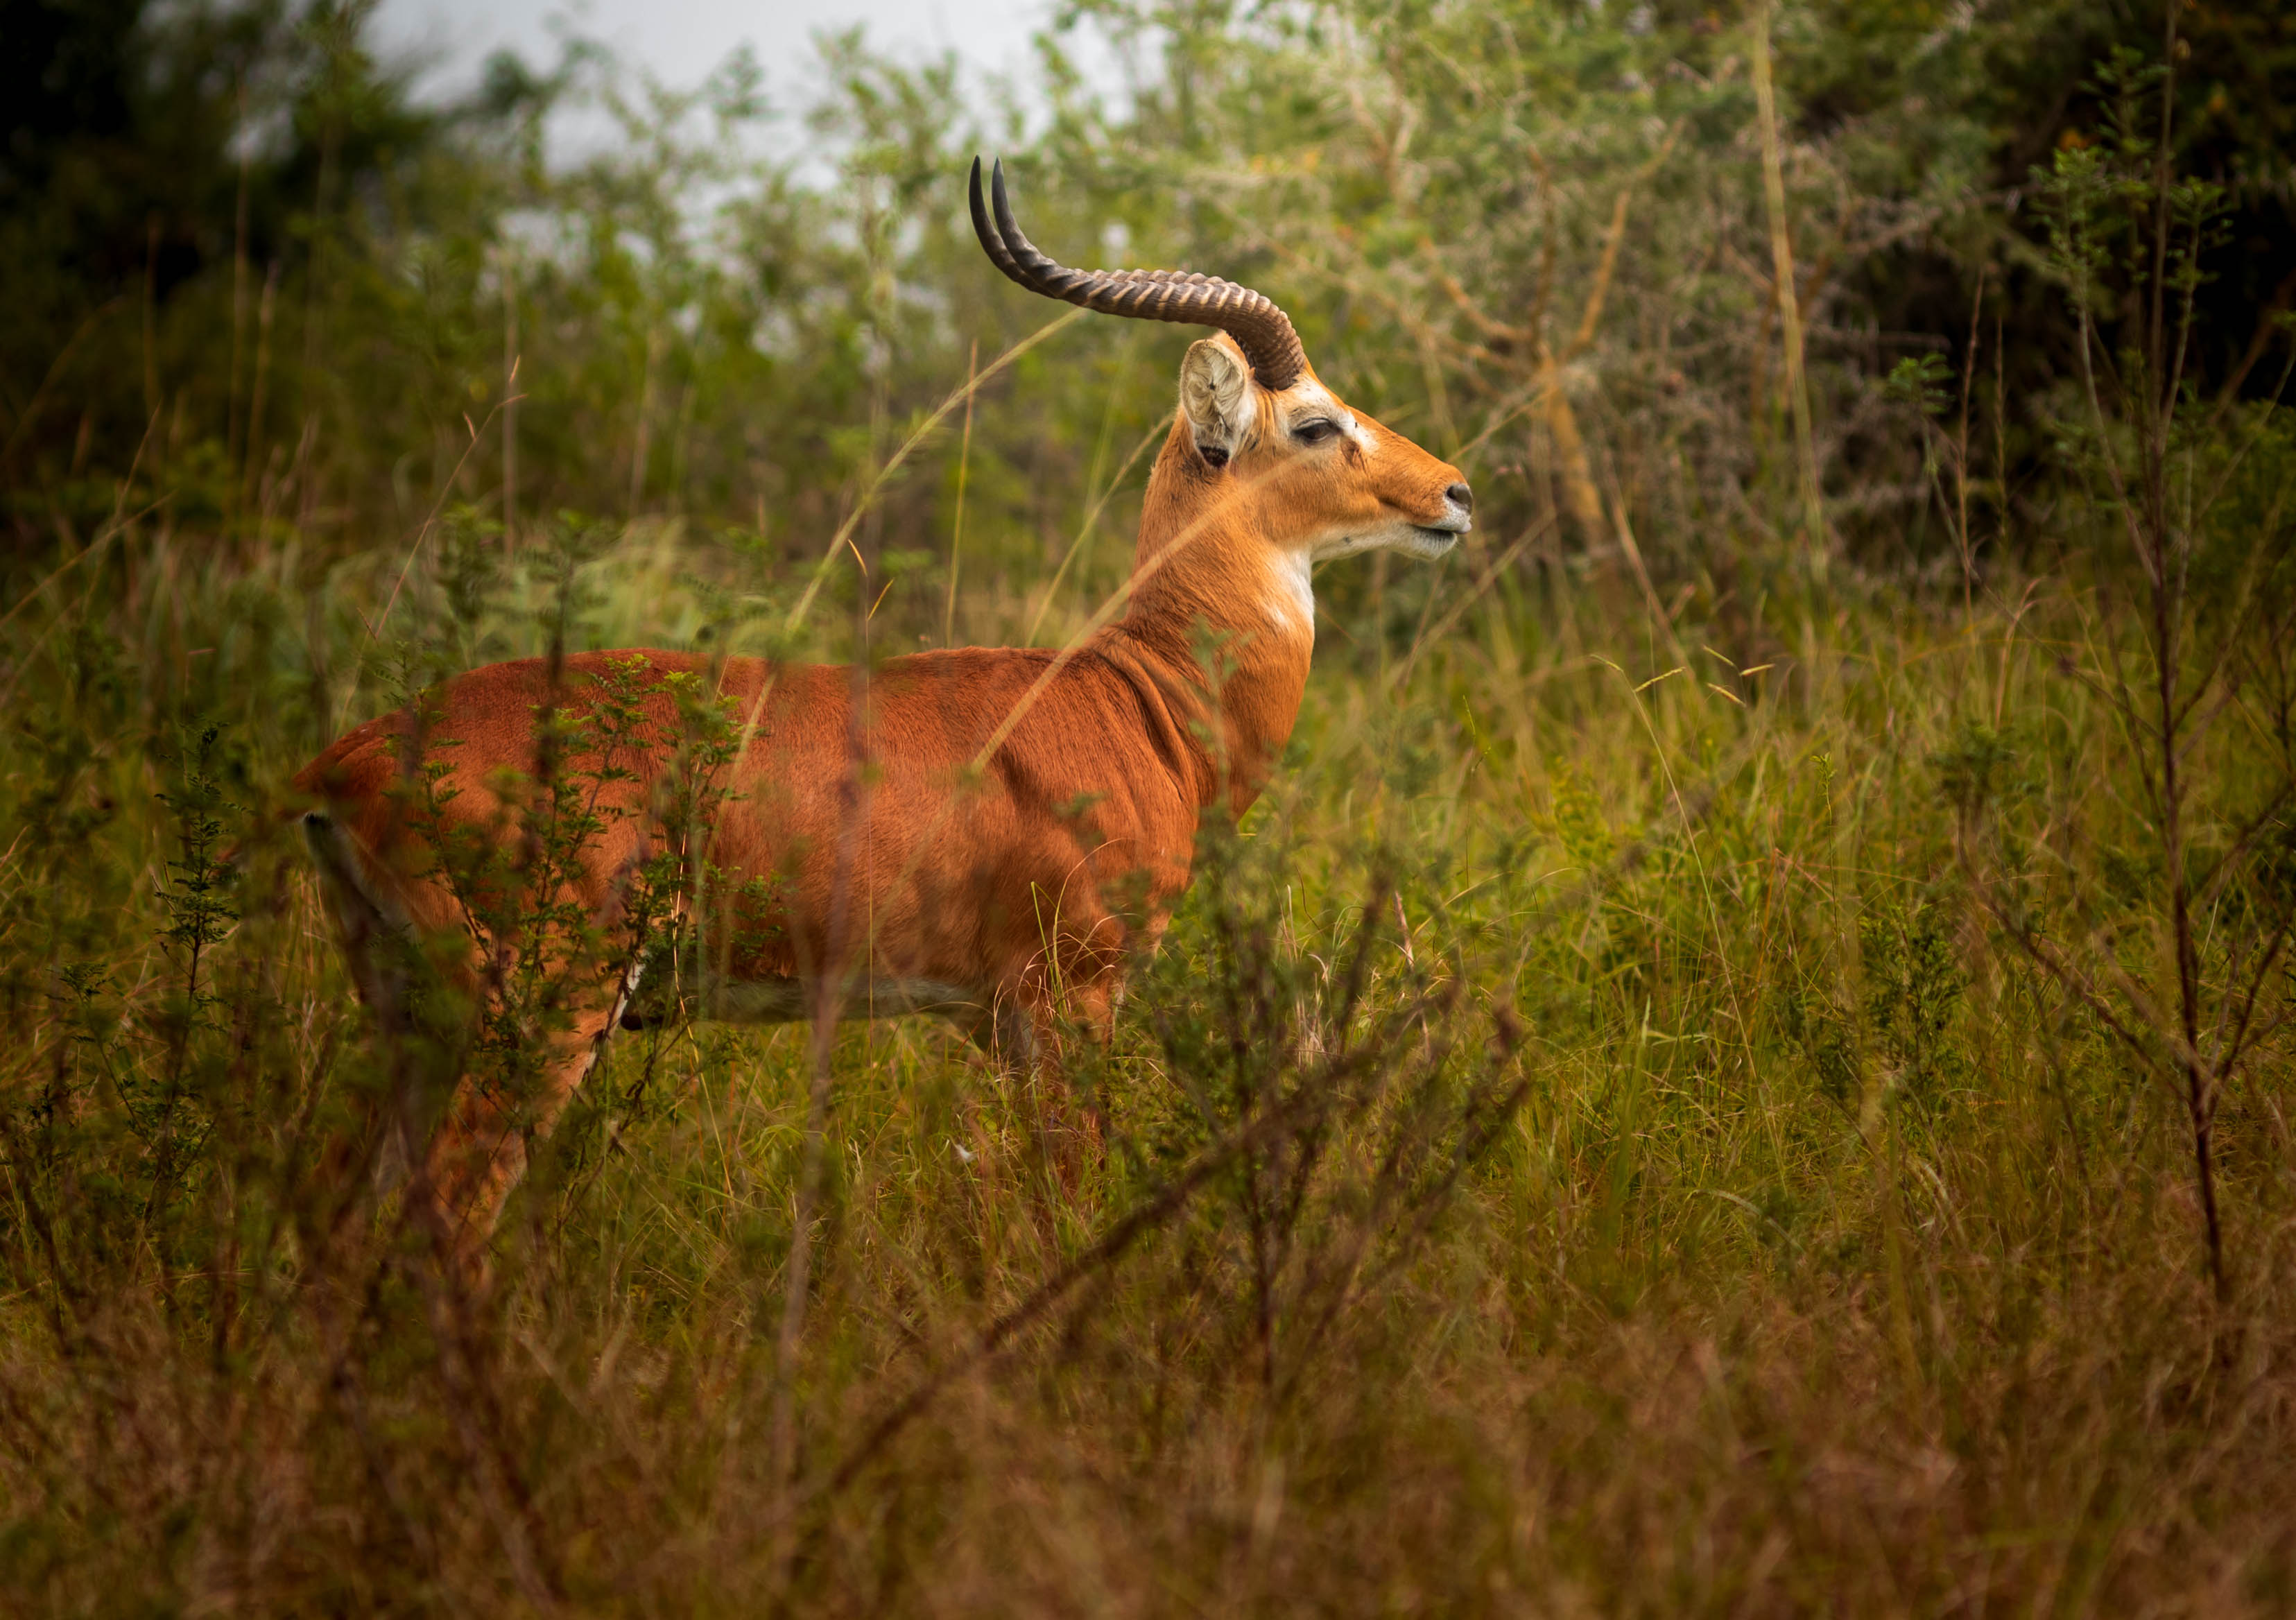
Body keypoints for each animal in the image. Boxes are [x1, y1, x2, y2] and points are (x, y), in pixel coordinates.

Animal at [296, 160, 1469, 1248]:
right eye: (1314, 423)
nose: (1454, 491)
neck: (1141, 700)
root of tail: (347, 762)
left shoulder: (991, 1018)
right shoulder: (1071, 993)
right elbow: (1073, 1200)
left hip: (405, 1012)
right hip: (543, 1006)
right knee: (446, 1216)